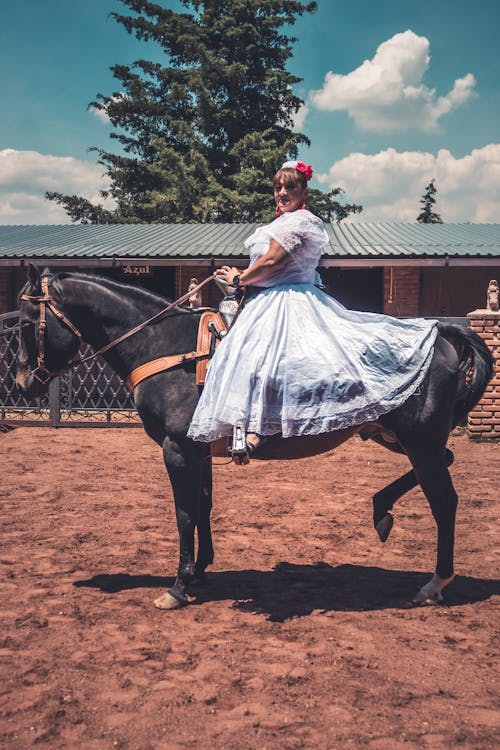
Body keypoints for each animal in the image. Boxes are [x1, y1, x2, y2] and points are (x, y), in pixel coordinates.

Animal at [15, 268, 492, 612]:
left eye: (24, 322)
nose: (22, 382)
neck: (167, 348)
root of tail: (439, 334)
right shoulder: (198, 450)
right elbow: (203, 506)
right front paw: (200, 569)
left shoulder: (176, 449)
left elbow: (184, 513)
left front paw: (178, 586)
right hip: (397, 436)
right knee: (445, 462)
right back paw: (381, 511)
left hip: (419, 441)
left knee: (444, 501)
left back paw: (434, 583)